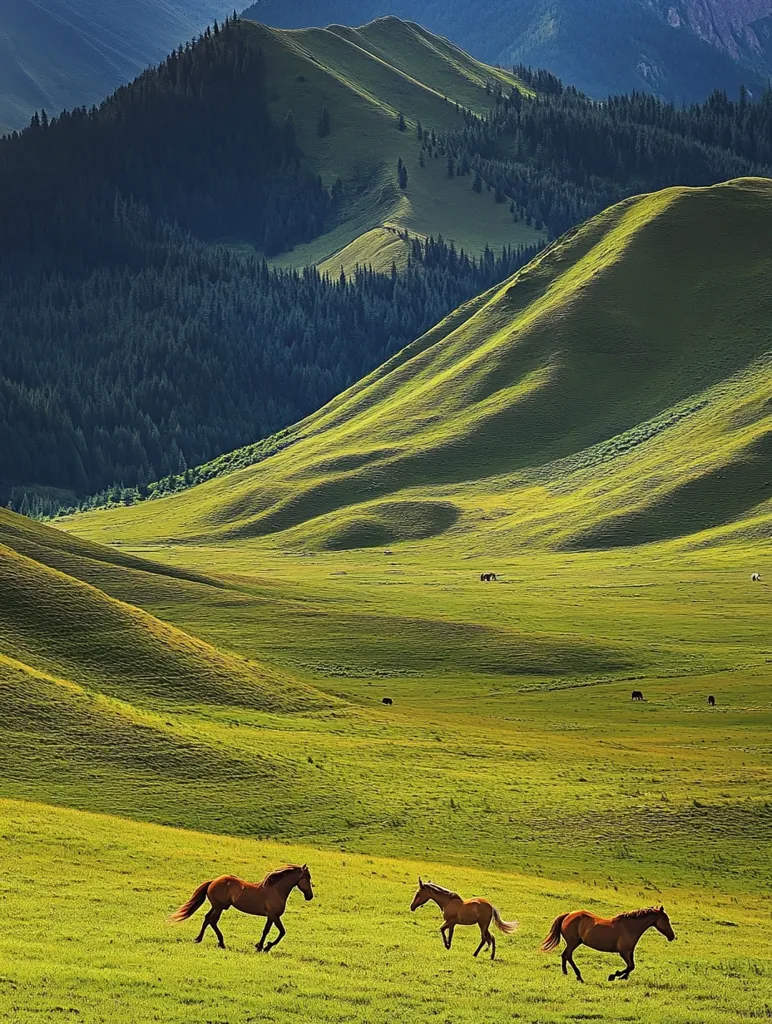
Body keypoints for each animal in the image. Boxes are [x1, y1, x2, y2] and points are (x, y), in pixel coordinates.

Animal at [169, 864, 313, 951]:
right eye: (307, 878)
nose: (310, 896)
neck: (276, 890)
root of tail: (213, 881)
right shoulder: (274, 915)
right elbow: (280, 932)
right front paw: (265, 947)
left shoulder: (271, 916)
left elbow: (268, 931)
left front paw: (261, 946)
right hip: (219, 907)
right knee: (213, 921)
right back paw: (221, 943)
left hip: (217, 906)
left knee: (207, 919)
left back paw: (198, 939)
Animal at [540, 905, 675, 982]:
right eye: (666, 919)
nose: (672, 936)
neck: (629, 927)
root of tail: (568, 915)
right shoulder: (623, 952)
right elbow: (630, 966)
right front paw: (614, 976)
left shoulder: (629, 952)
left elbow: (631, 966)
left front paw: (622, 977)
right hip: (573, 942)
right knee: (567, 955)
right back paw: (579, 977)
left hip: (575, 942)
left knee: (565, 956)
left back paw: (567, 974)